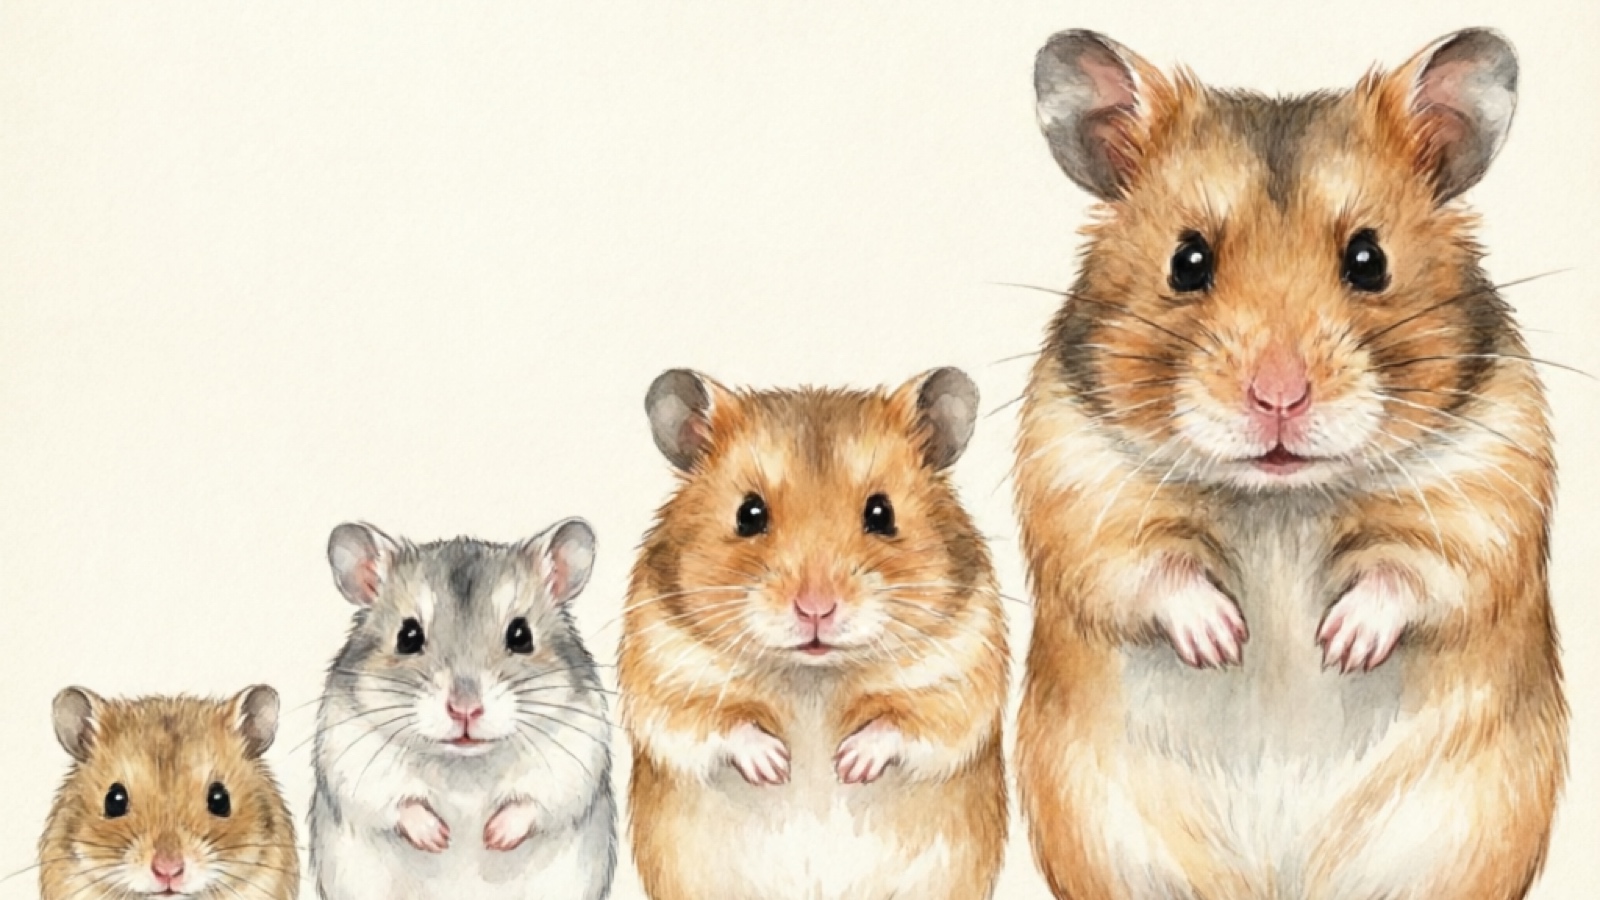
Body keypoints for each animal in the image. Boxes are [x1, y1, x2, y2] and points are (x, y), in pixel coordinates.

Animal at [308, 519, 616, 900]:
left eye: (521, 636)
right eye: (408, 636)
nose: (465, 710)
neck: (465, 767)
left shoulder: (577, 753)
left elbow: (534, 800)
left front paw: (492, 836)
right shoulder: (350, 755)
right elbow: (396, 800)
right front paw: (439, 838)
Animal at [618, 367, 1010, 900]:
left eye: (881, 513)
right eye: (749, 514)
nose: (816, 609)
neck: (813, 677)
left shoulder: (959, 679)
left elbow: (909, 720)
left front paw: (849, 764)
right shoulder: (666, 677)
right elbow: (716, 722)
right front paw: (775, 766)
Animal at [1012, 28, 1565, 900]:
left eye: (1369, 260)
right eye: (1188, 261)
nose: (1279, 398)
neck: (1281, 501)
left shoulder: (1488, 495)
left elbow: (1416, 571)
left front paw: (1338, 644)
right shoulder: (1076, 491)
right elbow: (1147, 567)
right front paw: (1224, 641)